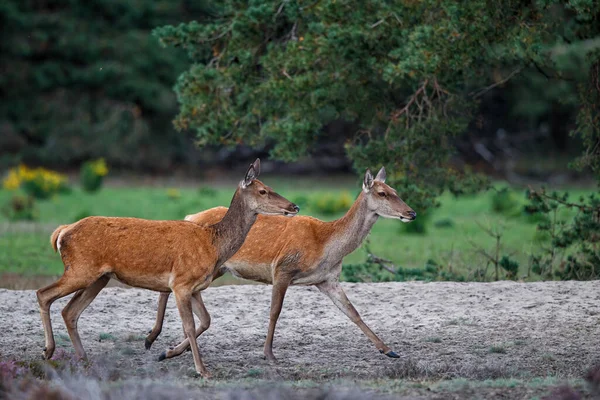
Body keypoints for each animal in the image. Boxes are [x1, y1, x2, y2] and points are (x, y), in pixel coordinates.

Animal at [37, 159, 300, 378]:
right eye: (263, 190)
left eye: (269, 186)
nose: (294, 206)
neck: (213, 244)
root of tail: (62, 232)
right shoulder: (181, 282)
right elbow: (190, 326)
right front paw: (202, 370)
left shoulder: (195, 286)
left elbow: (207, 320)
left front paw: (167, 352)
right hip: (80, 269)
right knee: (44, 294)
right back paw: (48, 350)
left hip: (98, 277)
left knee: (70, 311)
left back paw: (83, 359)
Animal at [146, 167, 418, 360]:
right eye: (382, 193)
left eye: (396, 190)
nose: (411, 213)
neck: (326, 245)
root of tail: (190, 216)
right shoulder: (283, 269)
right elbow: (275, 312)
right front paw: (268, 353)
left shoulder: (327, 279)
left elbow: (353, 312)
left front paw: (389, 350)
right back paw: (156, 341)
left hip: (216, 269)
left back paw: (162, 345)